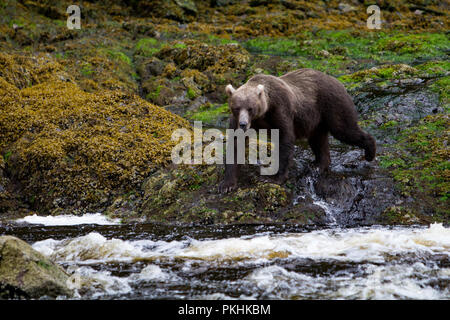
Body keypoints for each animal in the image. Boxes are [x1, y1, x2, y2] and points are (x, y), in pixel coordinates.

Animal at [218, 68, 376, 192]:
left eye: (250, 108)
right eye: (237, 108)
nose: (243, 124)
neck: (263, 114)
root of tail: (337, 81)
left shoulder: (280, 110)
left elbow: (285, 140)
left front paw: (274, 178)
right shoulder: (237, 120)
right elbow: (235, 145)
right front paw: (227, 184)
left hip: (332, 104)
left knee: (344, 129)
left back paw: (370, 152)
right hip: (317, 119)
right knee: (318, 140)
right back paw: (319, 164)